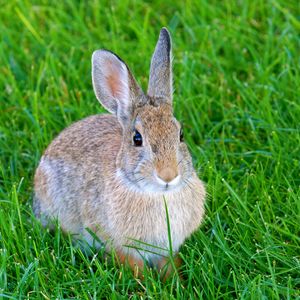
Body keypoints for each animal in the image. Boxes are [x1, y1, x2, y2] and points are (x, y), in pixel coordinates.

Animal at [33, 28, 206, 278]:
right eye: (137, 139)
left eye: (181, 135)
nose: (168, 175)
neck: (156, 194)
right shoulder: (120, 245)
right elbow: (133, 266)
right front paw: (146, 284)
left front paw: (176, 281)